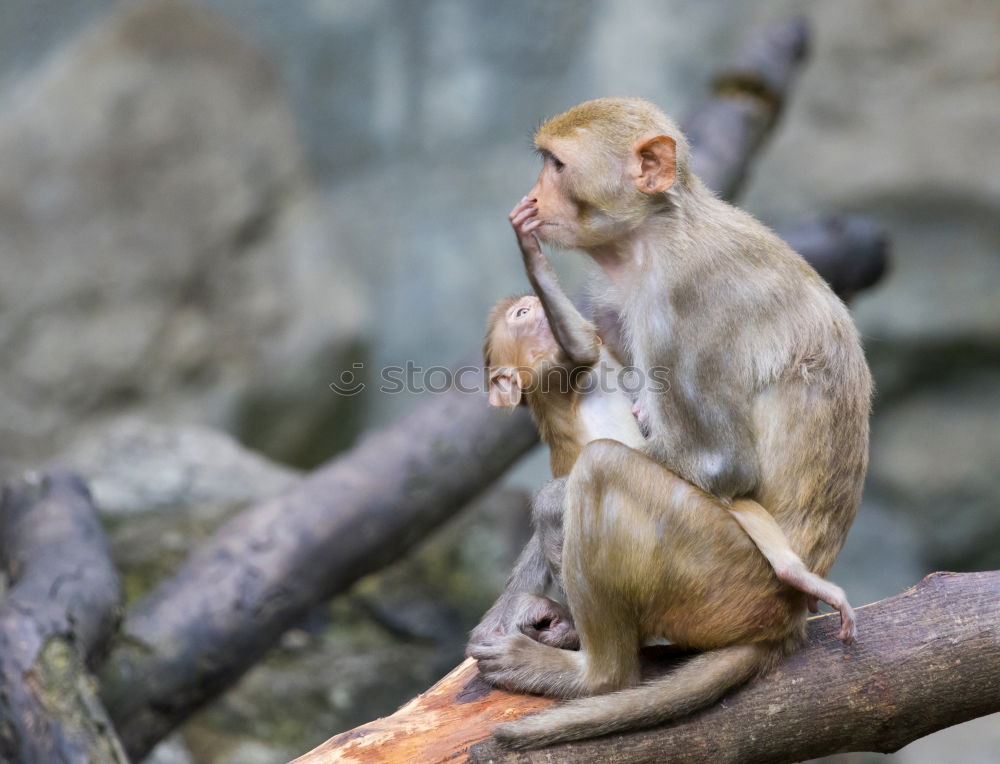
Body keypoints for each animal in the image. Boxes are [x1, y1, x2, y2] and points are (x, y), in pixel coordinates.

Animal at [466, 98, 868, 748]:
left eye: (556, 166)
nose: (534, 195)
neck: (656, 240)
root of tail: (782, 622)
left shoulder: (689, 303)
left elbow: (723, 463)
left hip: (721, 578)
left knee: (599, 475)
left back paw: (593, 675)